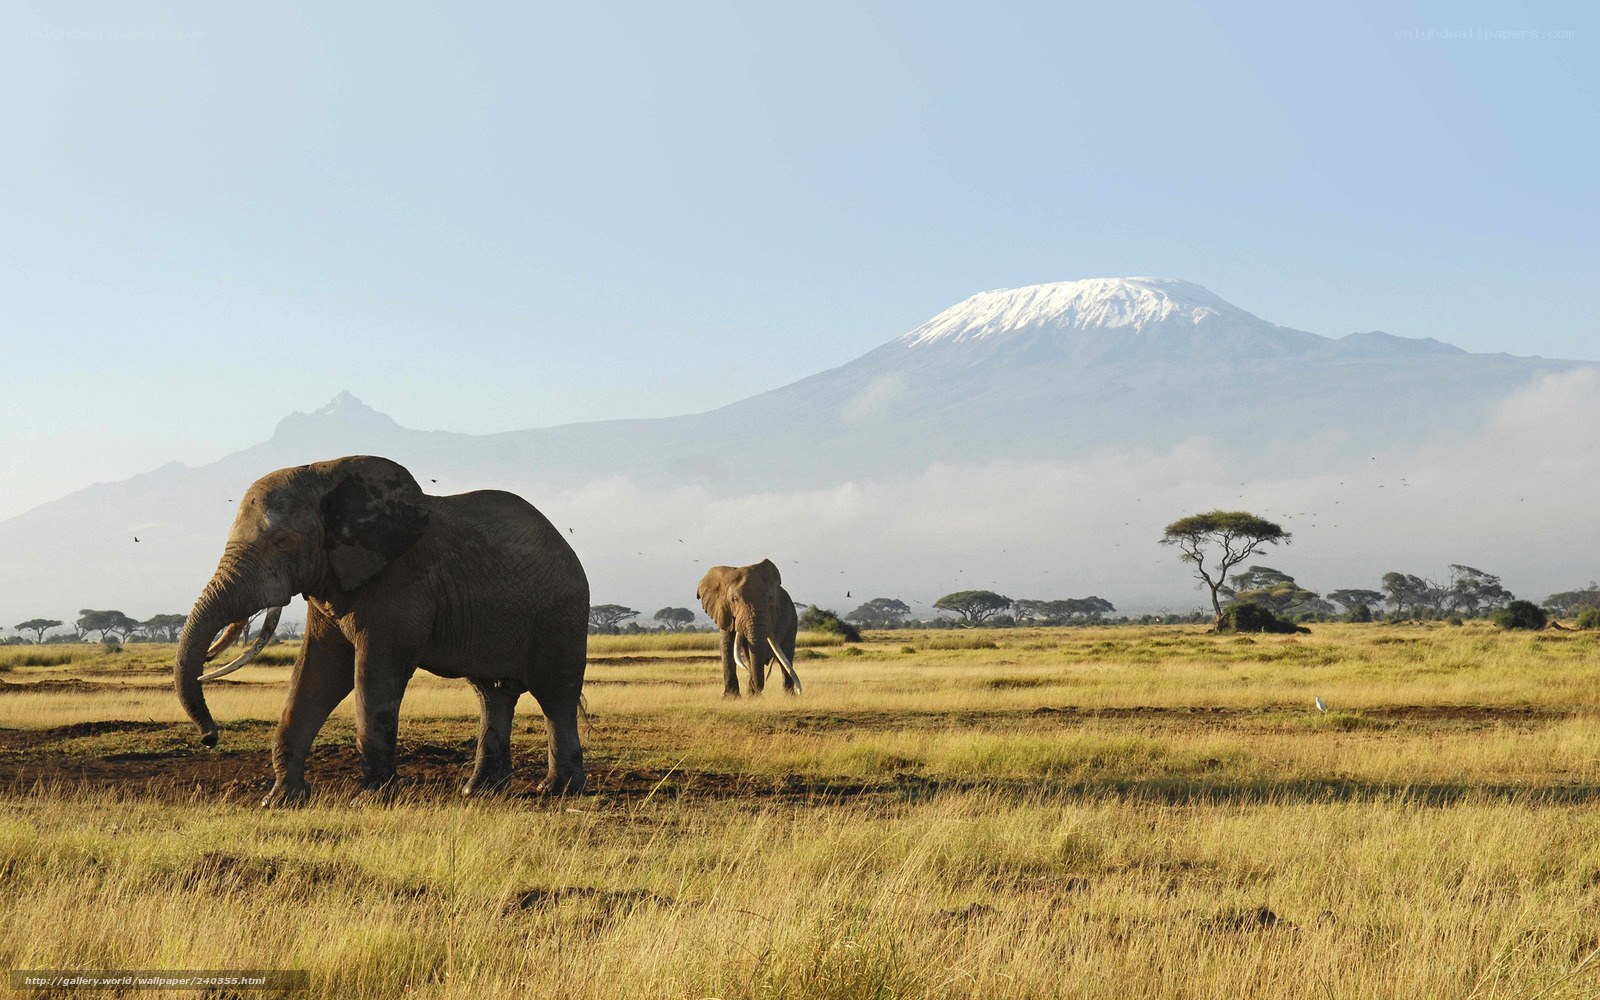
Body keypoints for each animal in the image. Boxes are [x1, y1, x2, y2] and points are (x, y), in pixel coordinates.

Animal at [174, 455, 589, 806]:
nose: (210, 738)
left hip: (561, 614)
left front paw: (372, 799)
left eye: (281, 541)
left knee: (556, 695)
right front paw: (280, 801)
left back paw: (558, 790)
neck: (324, 475)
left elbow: (374, 675)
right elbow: (318, 674)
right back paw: (480, 791)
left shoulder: (399, 583)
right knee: (492, 693)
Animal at [696, 559, 801, 697]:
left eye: (771, 599)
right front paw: (731, 698)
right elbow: (727, 646)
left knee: (786, 656)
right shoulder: (723, 612)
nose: (759, 691)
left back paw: (789, 697)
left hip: (792, 620)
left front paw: (750, 696)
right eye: (734, 599)